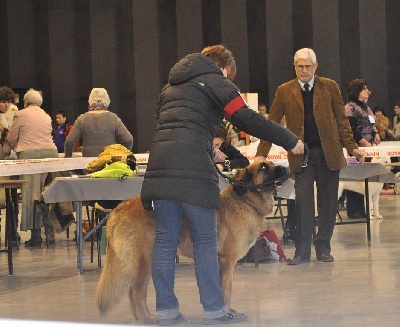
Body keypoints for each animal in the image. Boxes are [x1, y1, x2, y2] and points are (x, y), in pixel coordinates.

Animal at [95, 161, 286, 322]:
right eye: (263, 168)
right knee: (136, 292)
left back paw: (140, 317)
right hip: (145, 261)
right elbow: (226, 290)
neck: (245, 200)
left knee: (132, 291)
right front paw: (229, 312)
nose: (284, 167)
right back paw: (148, 318)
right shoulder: (226, 262)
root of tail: (118, 210)